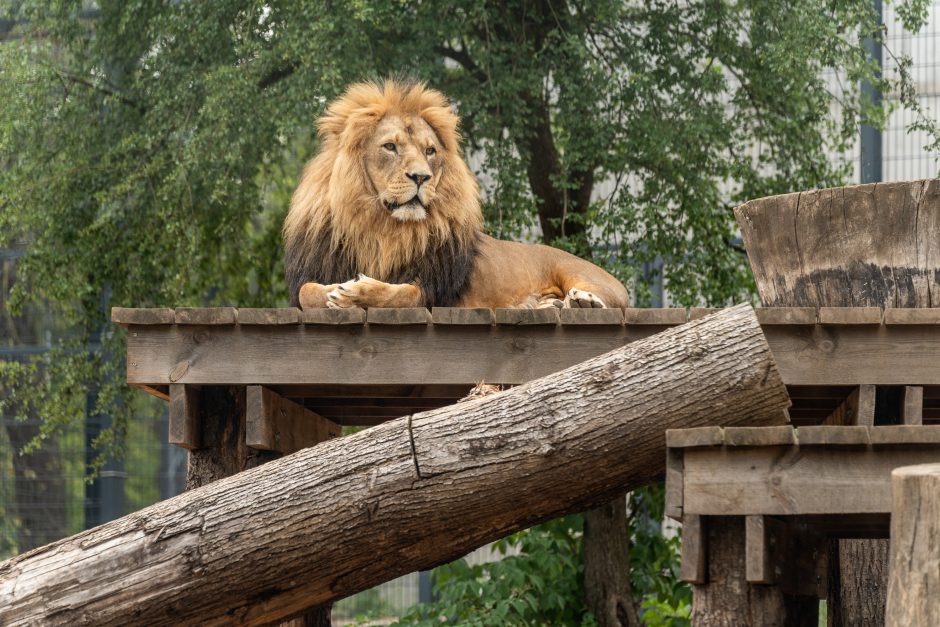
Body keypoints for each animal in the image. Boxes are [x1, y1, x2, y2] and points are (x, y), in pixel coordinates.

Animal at [282, 79, 628, 312]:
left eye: (430, 151)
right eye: (390, 147)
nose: (421, 177)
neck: (381, 228)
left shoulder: (432, 290)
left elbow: (400, 293)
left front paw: (355, 292)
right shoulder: (312, 273)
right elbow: (307, 291)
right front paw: (336, 290)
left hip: (579, 272)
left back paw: (583, 302)